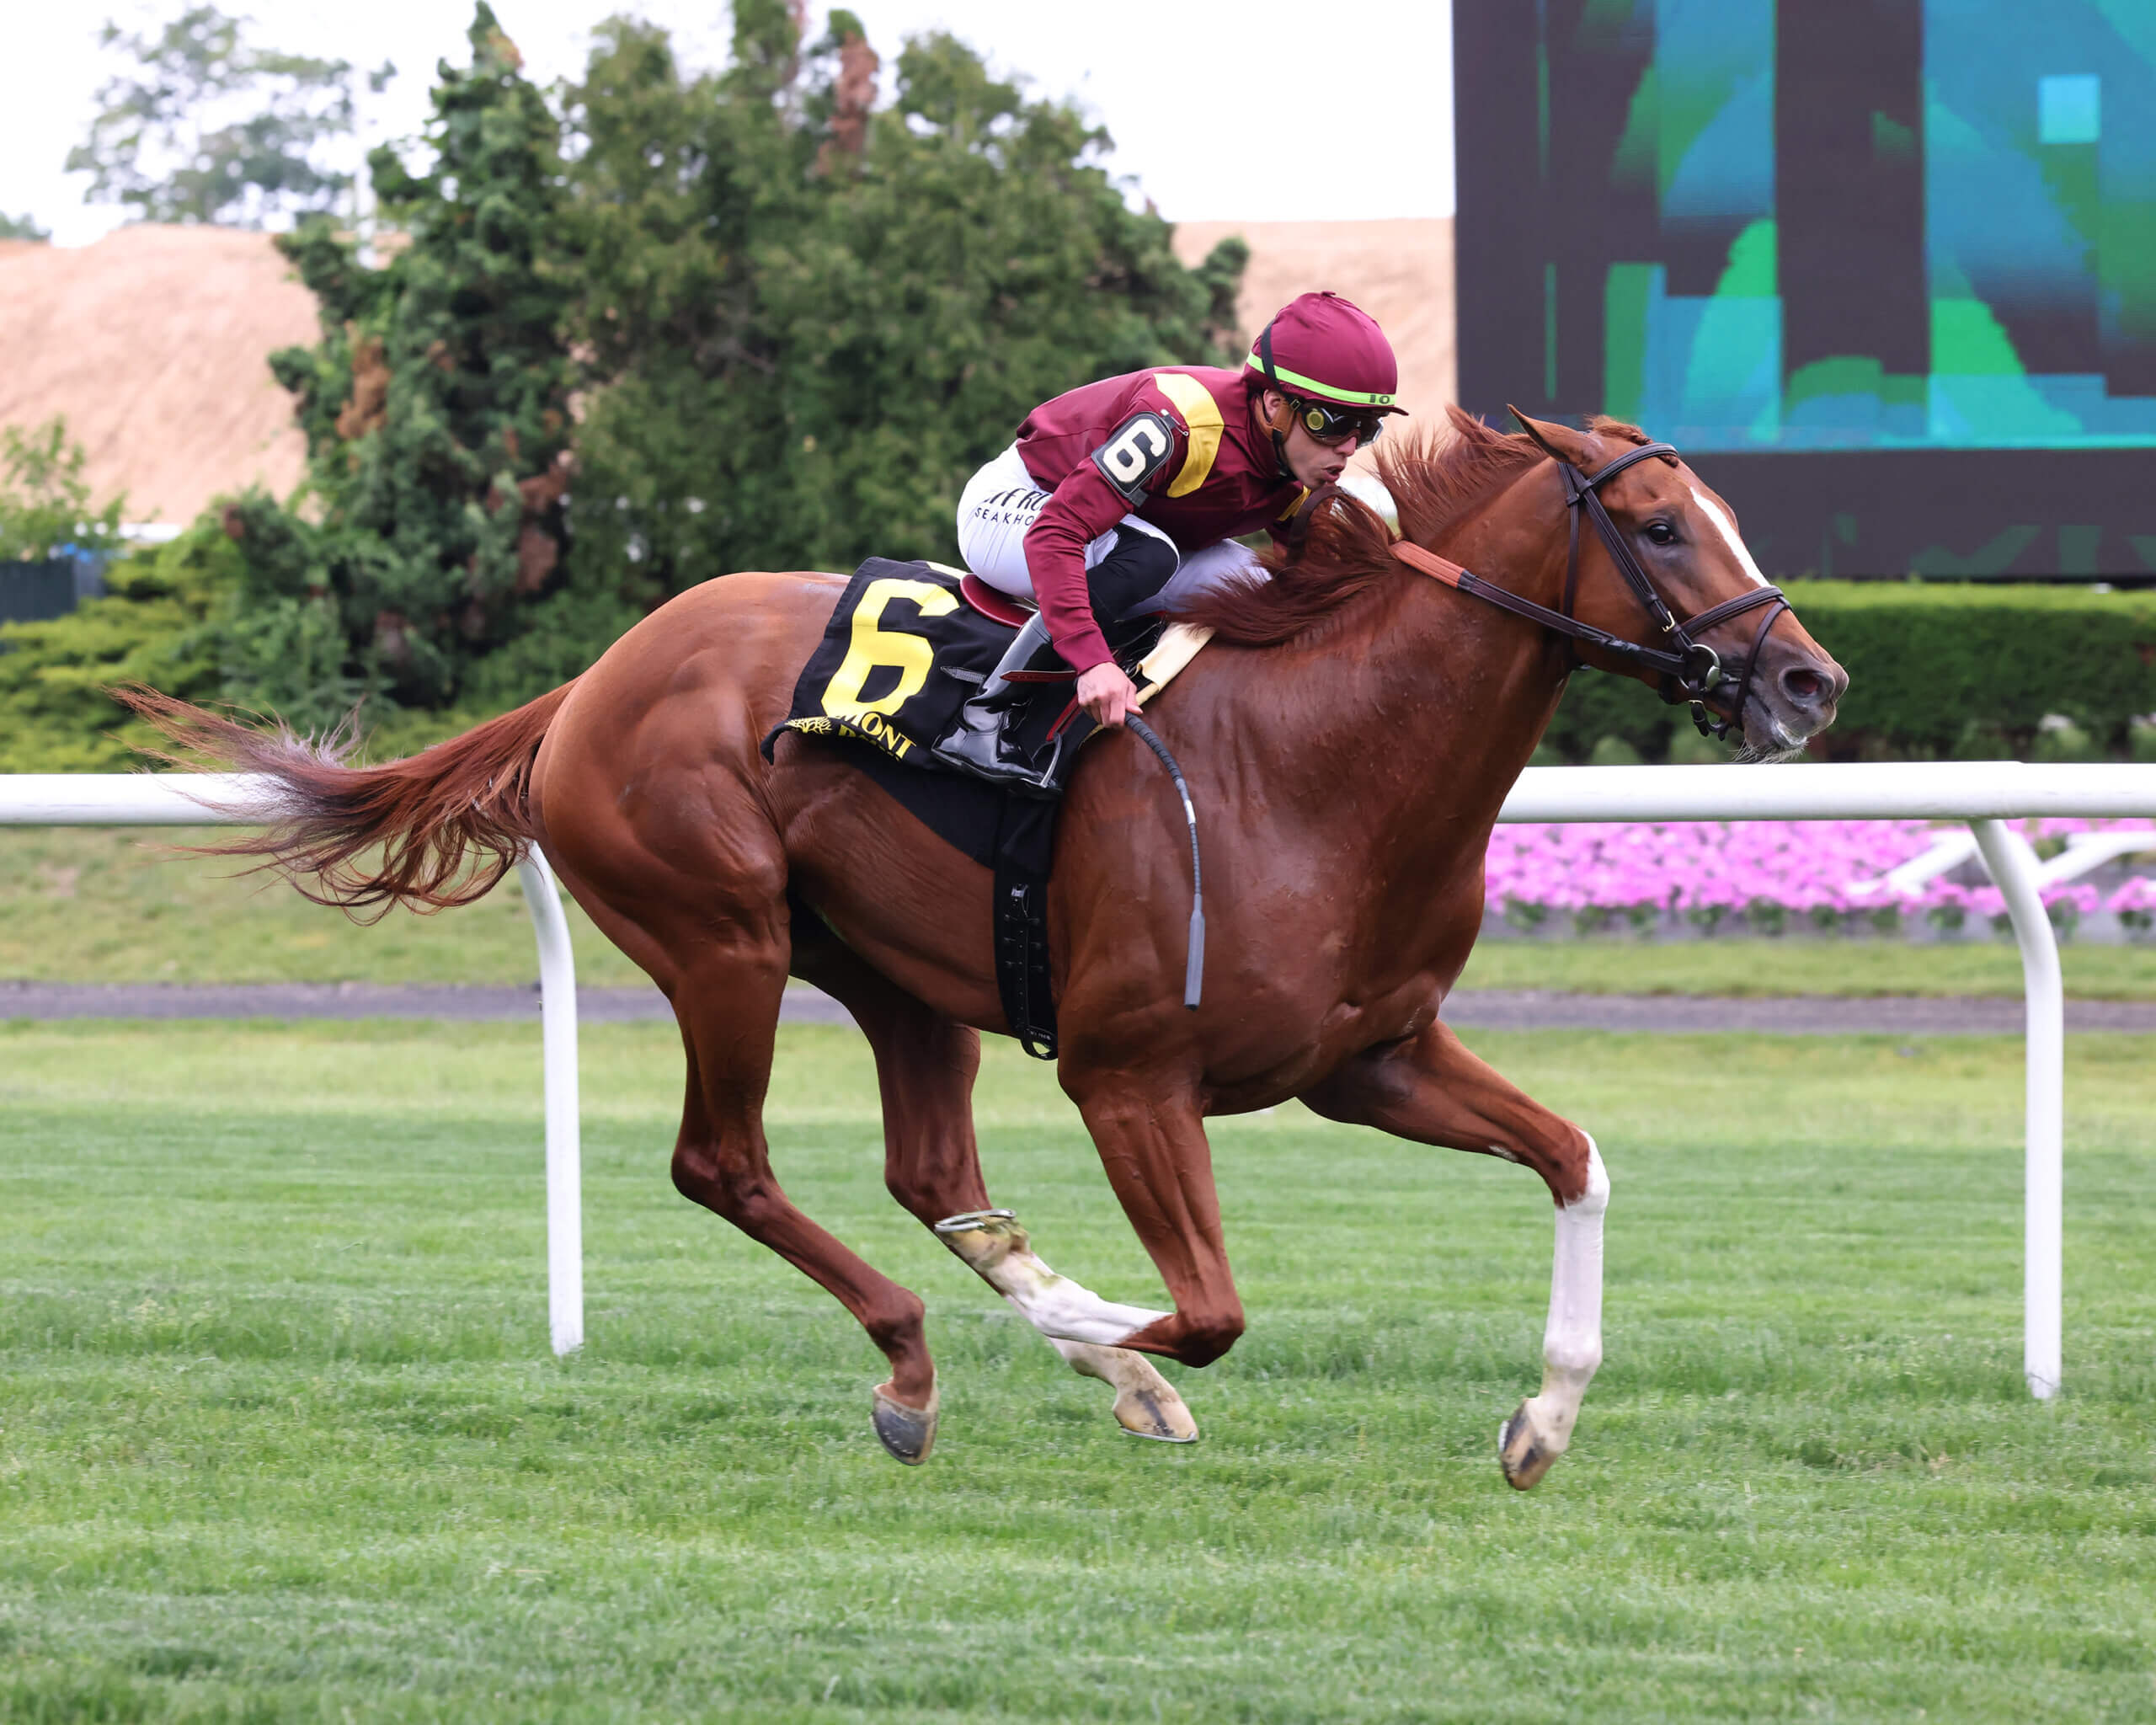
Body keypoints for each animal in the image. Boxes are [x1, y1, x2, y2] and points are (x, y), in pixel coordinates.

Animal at [125, 411, 1845, 1492]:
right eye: (1659, 525)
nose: (1810, 682)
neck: (1317, 760)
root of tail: (590, 681)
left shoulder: (1372, 1057)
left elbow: (1575, 1160)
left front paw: (1540, 1419)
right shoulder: (1129, 1073)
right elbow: (1213, 1308)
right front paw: (1115, 1344)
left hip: (893, 976)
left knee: (930, 1170)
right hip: (722, 934)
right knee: (724, 1162)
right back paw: (920, 1363)